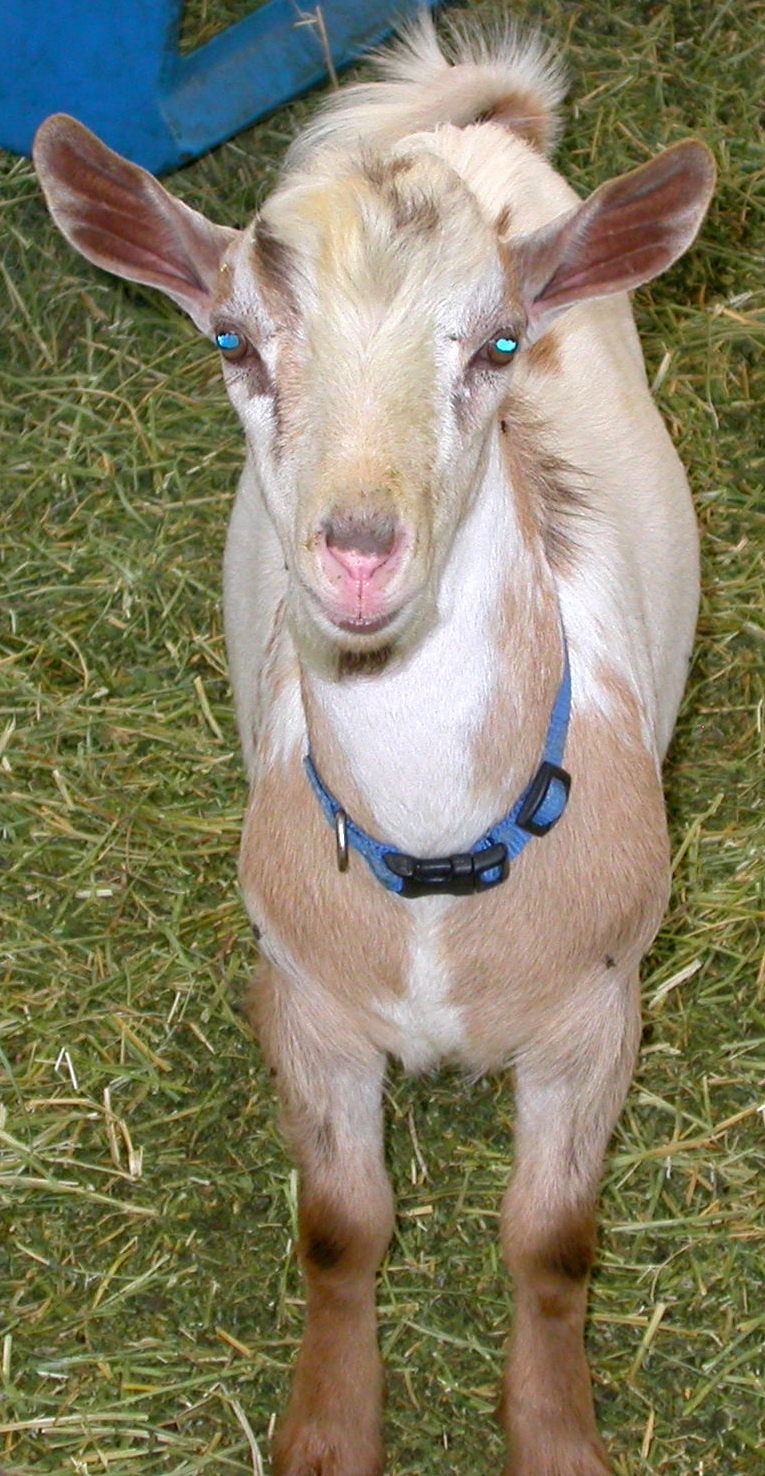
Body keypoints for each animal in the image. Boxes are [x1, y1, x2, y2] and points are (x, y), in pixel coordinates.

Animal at [34, 13, 715, 1475]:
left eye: (500, 345)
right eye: (231, 340)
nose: (356, 547)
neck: (439, 864)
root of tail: (475, 123)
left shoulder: (598, 1012)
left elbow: (552, 1242)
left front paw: (556, 1438)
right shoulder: (306, 1001)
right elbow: (342, 1230)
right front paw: (329, 1429)